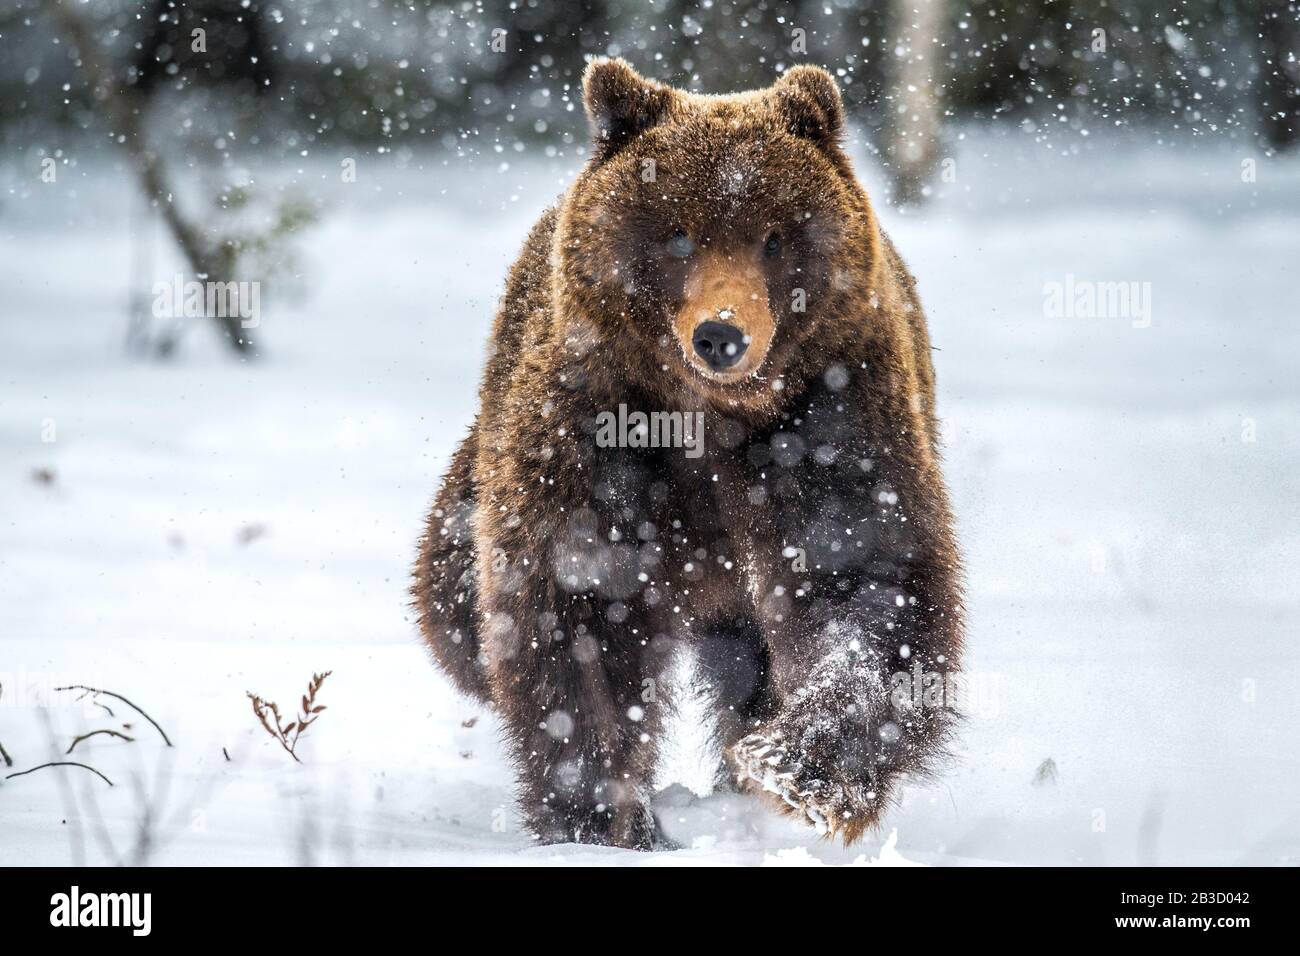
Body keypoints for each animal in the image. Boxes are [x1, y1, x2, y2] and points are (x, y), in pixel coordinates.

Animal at [410, 57, 961, 853]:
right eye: (678, 235)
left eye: (773, 237)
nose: (721, 335)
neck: (711, 419)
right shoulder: (599, 439)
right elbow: (578, 609)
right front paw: (599, 817)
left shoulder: (831, 418)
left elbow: (863, 574)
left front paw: (797, 766)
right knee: (451, 598)